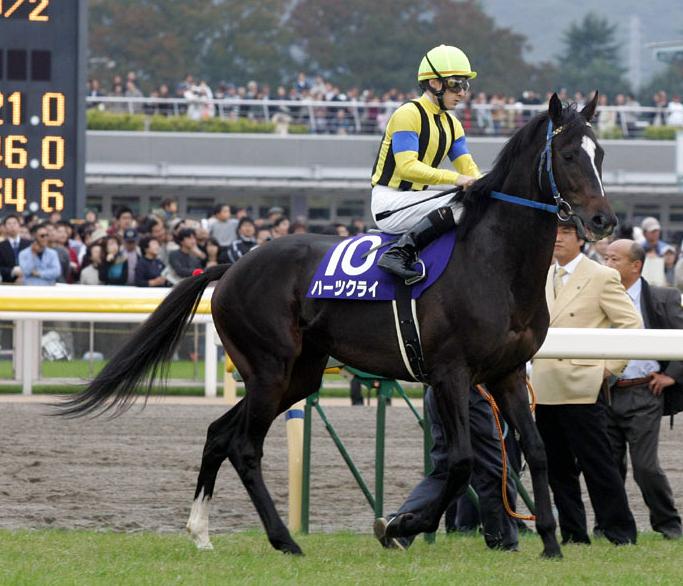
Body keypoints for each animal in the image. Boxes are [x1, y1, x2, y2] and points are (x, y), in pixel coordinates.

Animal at [58, 92, 615, 559]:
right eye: (569, 155)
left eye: (601, 153)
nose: (604, 221)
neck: (495, 263)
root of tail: (230, 266)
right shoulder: (451, 374)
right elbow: (459, 462)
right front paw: (400, 526)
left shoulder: (507, 373)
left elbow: (538, 451)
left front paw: (550, 543)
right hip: (269, 368)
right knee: (243, 445)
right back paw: (284, 540)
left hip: (298, 374)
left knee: (219, 433)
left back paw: (201, 532)